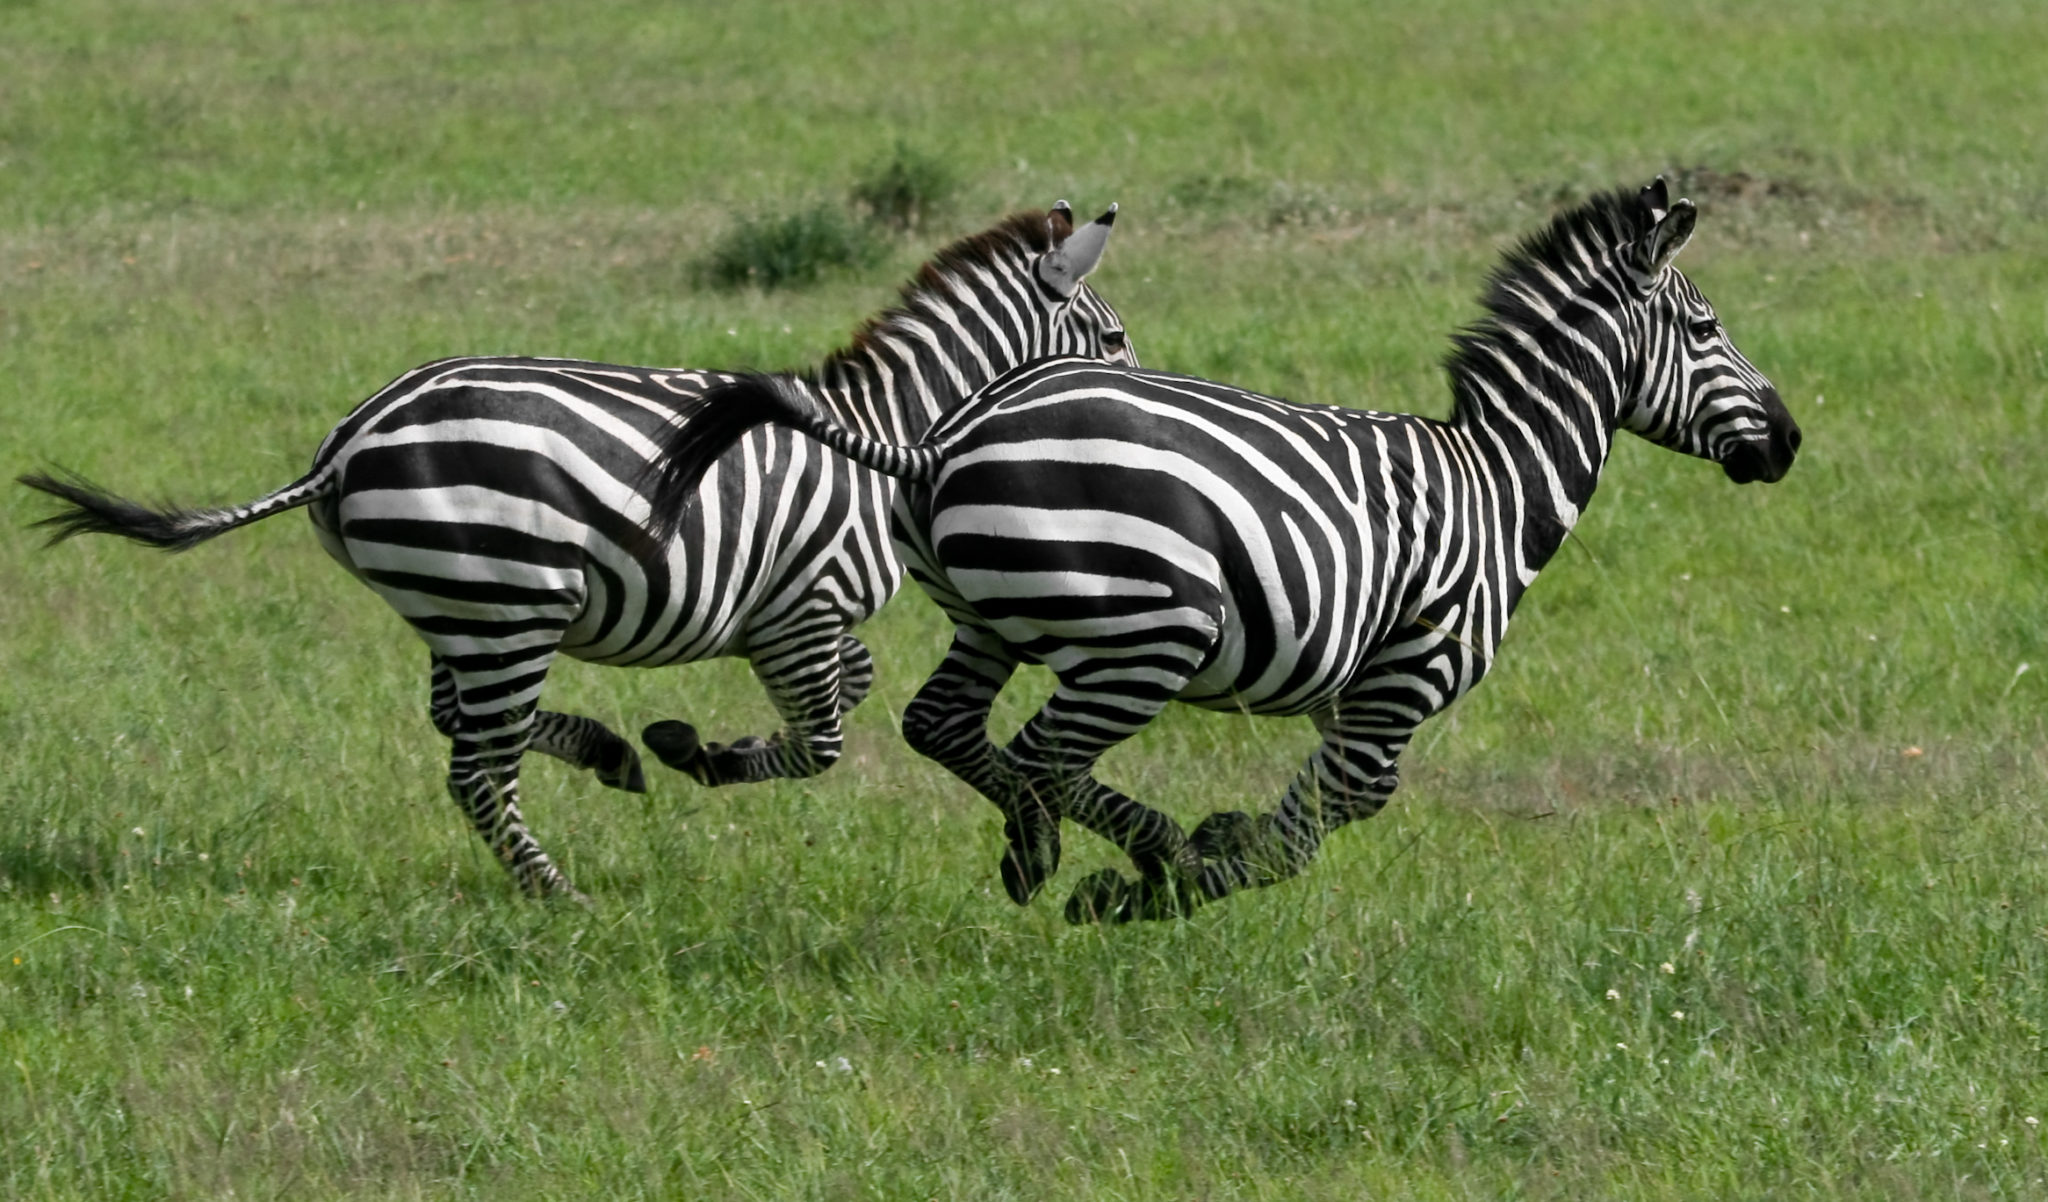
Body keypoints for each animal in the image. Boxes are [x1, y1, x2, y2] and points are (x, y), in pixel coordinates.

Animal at [18, 202, 1133, 900]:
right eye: (1116, 340)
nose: (1137, 409)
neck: (883, 432)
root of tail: (343, 449)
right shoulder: (800, 606)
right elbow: (821, 739)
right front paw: (710, 756)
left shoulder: (787, 621)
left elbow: (849, 691)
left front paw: (693, 747)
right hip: (506, 601)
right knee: (476, 767)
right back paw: (557, 891)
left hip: (457, 605)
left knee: (459, 725)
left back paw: (604, 755)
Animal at [642, 178, 1801, 922]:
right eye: (1705, 329)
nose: (1789, 441)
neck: (1498, 480)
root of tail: (940, 437)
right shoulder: (1400, 683)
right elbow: (1327, 816)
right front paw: (1180, 875)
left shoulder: (1352, 696)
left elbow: (1320, 810)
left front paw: (1191, 859)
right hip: (1148, 631)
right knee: (1044, 754)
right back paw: (1138, 854)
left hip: (991, 619)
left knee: (950, 728)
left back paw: (1036, 849)